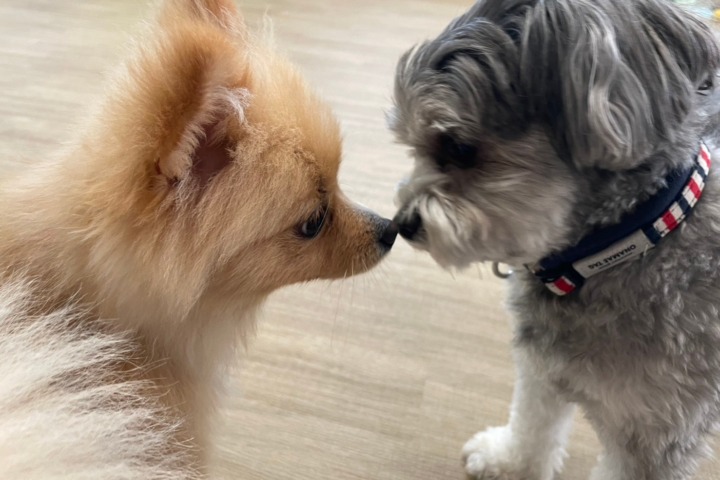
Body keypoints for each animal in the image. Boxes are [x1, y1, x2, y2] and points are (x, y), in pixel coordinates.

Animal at [390, 0, 720, 480]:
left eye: (459, 149)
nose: (401, 223)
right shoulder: (543, 366)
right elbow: (533, 424)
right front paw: (508, 461)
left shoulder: (655, 437)